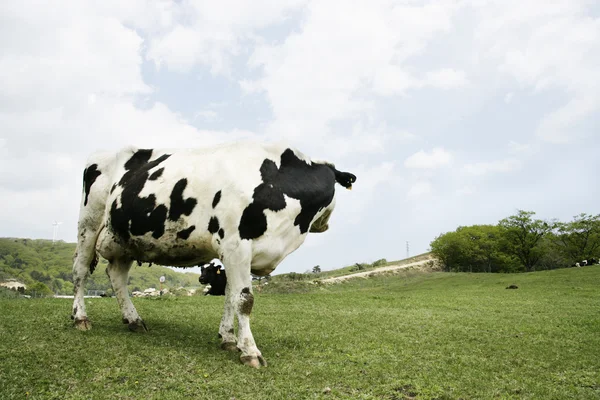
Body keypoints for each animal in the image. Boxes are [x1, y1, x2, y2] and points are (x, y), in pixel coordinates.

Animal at [69, 142, 356, 368]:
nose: (324, 225)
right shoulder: (236, 245)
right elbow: (245, 300)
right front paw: (250, 351)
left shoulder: (234, 255)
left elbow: (230, 297)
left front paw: (229, 338)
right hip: (89, 224)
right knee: (80, 271)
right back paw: (80, 317)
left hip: (125, 239)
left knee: (116, 275)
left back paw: (134, 320)